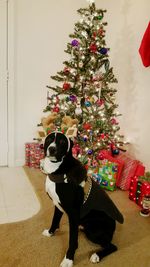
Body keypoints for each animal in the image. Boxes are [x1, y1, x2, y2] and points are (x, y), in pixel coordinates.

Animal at [41, 132, 123, 267]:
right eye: (49, 139)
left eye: (63, 142)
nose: (52, 149)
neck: (60, 168)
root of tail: (114, 228)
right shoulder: (58, 205)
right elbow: (54, 220)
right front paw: (50, 232)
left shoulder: (73, 213)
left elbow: (72, 241)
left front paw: (68, 260)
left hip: (94, 231)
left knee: (112, 246)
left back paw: (96, 255)